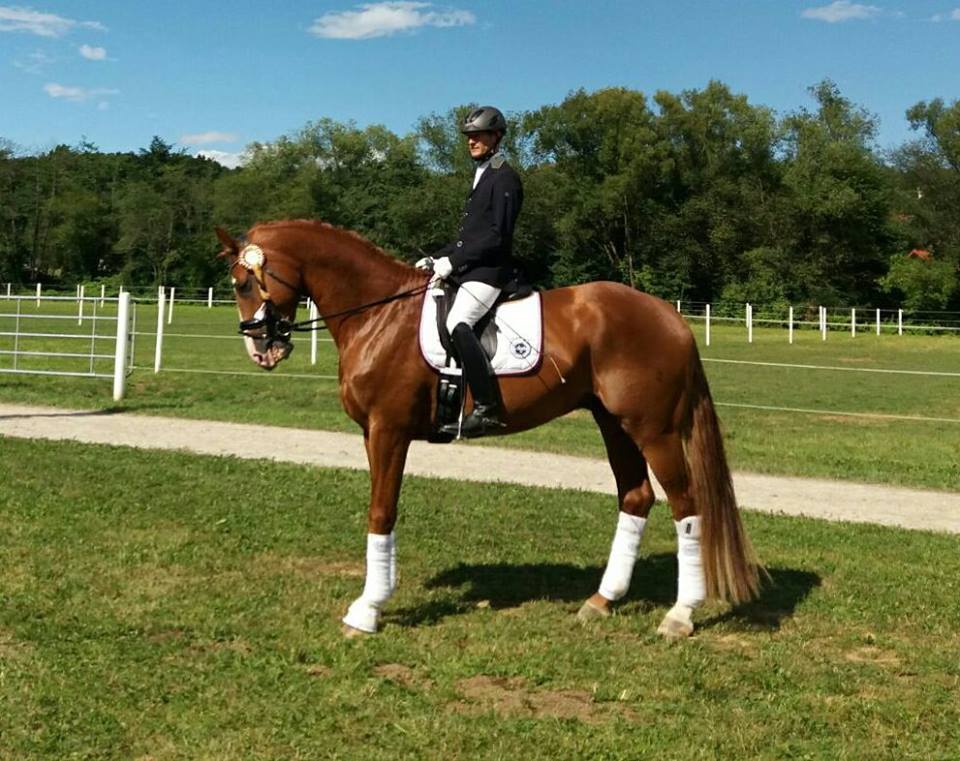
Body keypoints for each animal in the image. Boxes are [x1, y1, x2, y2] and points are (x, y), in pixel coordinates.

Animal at [214, 221, 760, 640]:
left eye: (243, 284)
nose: (260, 351)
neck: (378, 314)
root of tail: (670, 316)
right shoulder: (373, 434)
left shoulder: (388, 431)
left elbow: (380, 513)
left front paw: (367, 611)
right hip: (614, 424)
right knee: (636, 497)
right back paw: (601, 600)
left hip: (655, 430)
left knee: (687, 506)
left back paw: (680, 615)